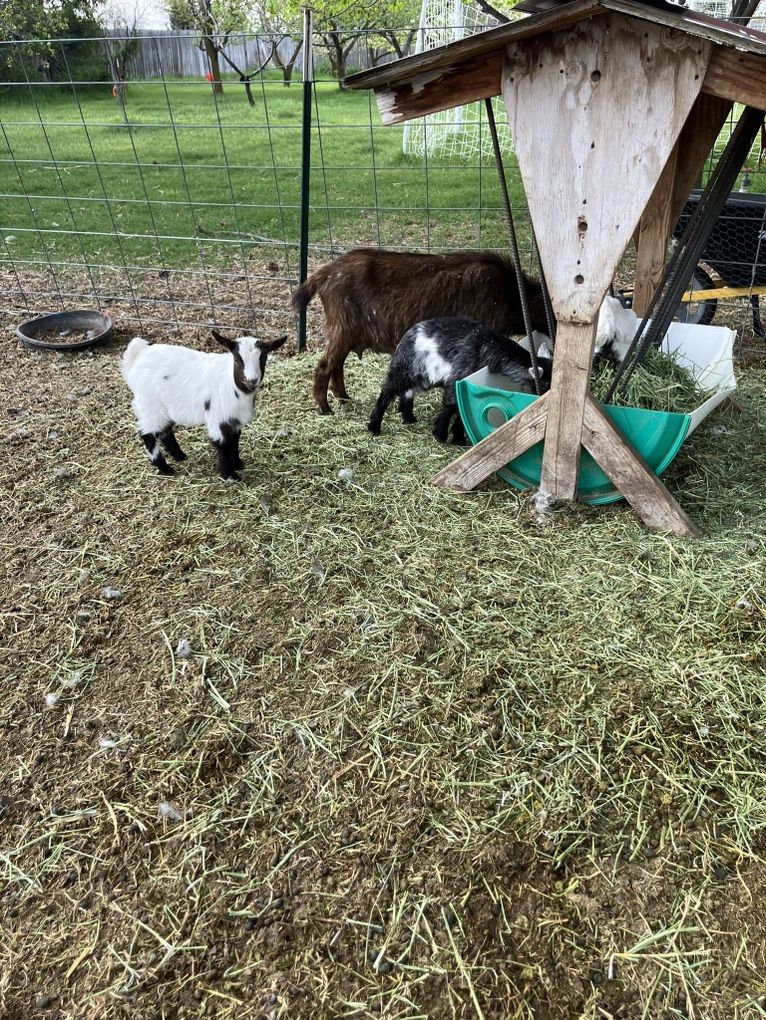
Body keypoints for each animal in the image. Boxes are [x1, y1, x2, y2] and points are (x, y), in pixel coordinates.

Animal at [120, 330, 287, 480]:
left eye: (263, 358)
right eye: (237, 360)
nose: (251, 381)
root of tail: (138, 354)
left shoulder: (235, 420)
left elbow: (234, 441)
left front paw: (238, 464)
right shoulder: (218, 418)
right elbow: (223, 444)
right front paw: (230, 475)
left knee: (165, 430)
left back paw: (179, 456)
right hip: (149, 404)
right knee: (148, 435)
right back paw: (165, 468)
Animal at [293, 248, 550, 414]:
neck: (512, 293)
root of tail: (323, 274)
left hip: (346, 333)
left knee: (337, 365)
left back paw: (343, 398)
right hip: (342, 328)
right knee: (325, 365)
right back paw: (325, 408)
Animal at [367, 316, 552, 443]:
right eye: (544, 385)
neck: (489, 345)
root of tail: (409, 333)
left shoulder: (462, 384)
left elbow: (460, 411)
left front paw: (457, 438)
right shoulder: (458, 377)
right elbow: (451, 407)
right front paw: (441, 435)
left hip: (423, 377)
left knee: (408, 392)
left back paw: (408, 417)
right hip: (405, 369)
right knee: (388, 390)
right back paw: (374, 426)